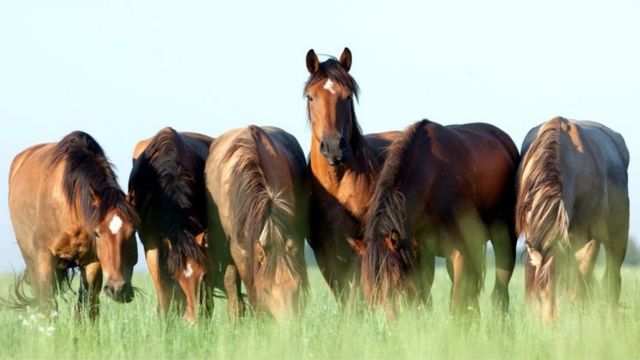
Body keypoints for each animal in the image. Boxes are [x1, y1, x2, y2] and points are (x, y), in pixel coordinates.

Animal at [7, 131, 139, 320]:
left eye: (133, 230)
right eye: (97, 233)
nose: (118, 289)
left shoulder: (92, 262)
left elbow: (88, 305)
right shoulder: (44, 257)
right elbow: (47, 304)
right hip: (31, 259)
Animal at [360, 120, 520, 318]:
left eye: (396, 281)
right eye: (369, 288)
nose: (390, 323)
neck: (432, 180)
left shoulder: (459, 251)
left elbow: (457, 301)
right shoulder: (419, 253)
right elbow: (424, 299)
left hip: (504, 240)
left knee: (500, 289)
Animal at [516, 116, 632, 322]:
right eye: (541, 292)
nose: (550, 324)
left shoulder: (588, 238)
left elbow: (578, 286)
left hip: (617, 236)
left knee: (611, 281)